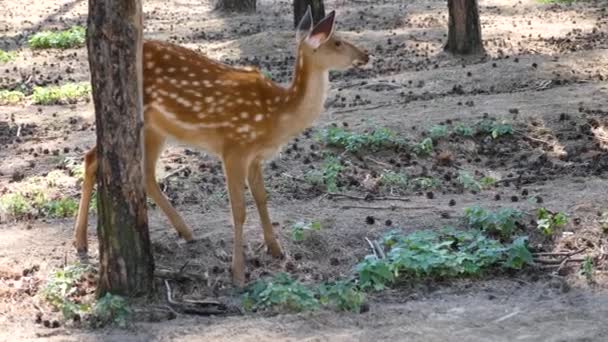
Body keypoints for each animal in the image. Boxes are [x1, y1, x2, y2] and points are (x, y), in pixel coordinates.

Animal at [76, 8, 370, 286]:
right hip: (140, 120)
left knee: (143, 173)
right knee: (92, 158)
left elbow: (262, 198)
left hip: (156, 128)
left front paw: (276, 249)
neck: (276, 116)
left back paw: (186, 231)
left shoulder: (255, 156)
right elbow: (238, 210)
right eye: (338, 41)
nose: (366, 54)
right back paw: (80, 242)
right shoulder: (234, 147)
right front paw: (238, 273)